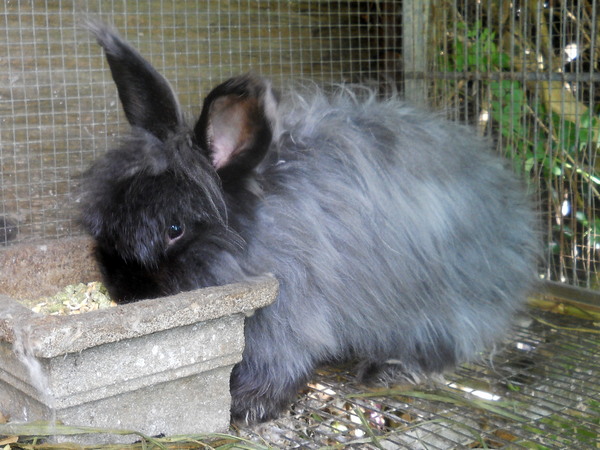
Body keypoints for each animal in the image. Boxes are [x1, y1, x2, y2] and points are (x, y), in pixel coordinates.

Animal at [78, 22, 540, 424]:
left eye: (174, 230)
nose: (122, 290)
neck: (258, 236)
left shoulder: (289, 317)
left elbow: (280, 364)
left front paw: (247, 406)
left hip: (445, 303)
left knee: (455, 339)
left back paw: (387, 369)